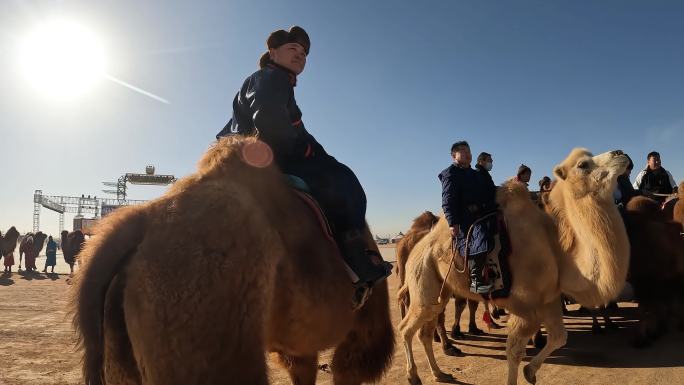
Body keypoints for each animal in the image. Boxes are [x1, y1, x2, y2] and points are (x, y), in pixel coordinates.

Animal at [400, 149, 632, 384]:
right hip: (422, 281)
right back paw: (413, 375)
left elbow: (560, 337)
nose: (620, 153)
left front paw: (530, 372)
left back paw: (438, 373)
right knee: (406, 328)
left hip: (441, 289)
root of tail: (416, 249)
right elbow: (514, 351)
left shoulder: (548, 299)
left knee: (425, 330)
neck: (555, 249)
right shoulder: (524, 306)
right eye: (583, 165)